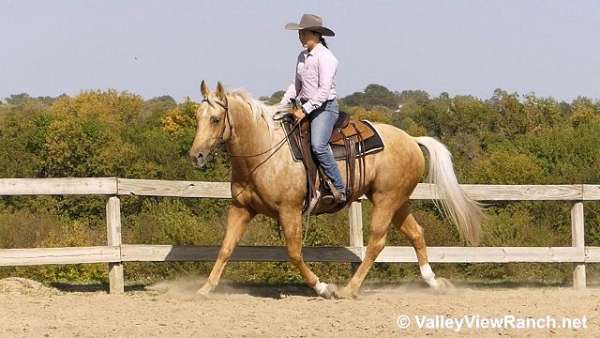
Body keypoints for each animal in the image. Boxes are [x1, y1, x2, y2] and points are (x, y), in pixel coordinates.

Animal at [188, 81, 482, 298]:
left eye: (216, 119)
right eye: (197, 117)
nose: (196, 156)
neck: (264, 149)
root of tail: (411, 139)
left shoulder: (289, 211)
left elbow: (294, 253)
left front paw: (323, 288)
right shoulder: (241, 208)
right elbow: (226, 248)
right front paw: (204, 289)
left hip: (386, 201)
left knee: (377, 242)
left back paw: (348, 289)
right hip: (398, 202)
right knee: (417, 234)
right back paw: (433, 282)